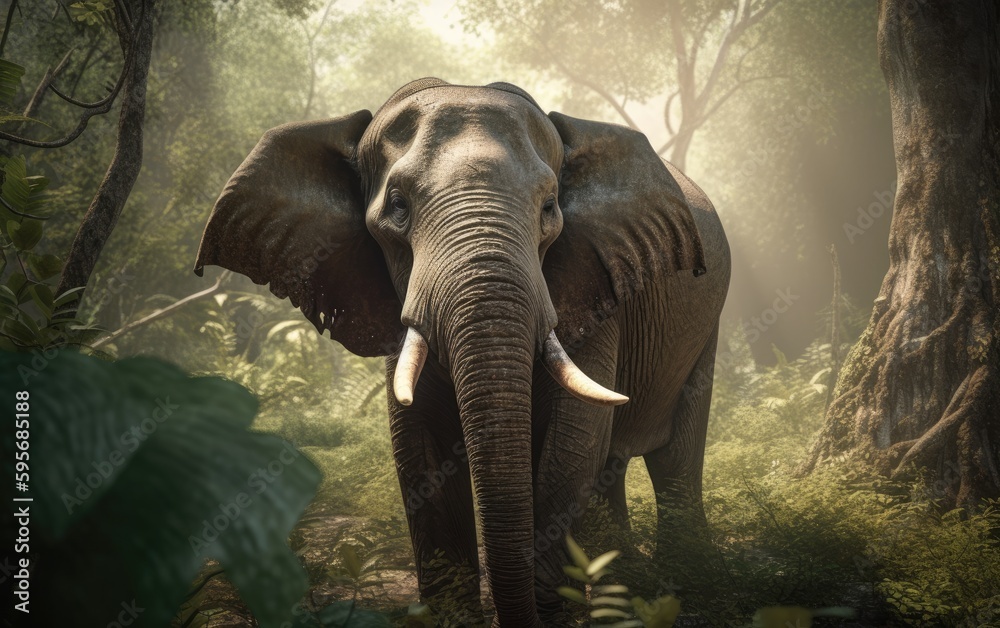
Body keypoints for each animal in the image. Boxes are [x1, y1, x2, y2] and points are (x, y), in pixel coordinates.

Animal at [195, 78, 730, 627]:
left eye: (549, 208)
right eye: (398, 207)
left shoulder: (594, 286)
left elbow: (572, 443)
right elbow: (420, 447)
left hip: (708, 323)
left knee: (673, 457)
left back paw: (684, 578)